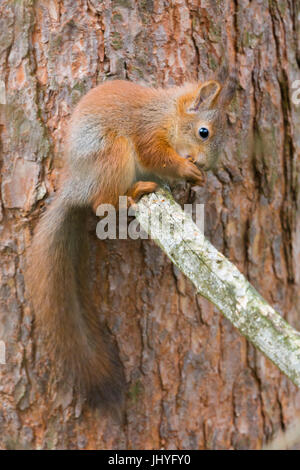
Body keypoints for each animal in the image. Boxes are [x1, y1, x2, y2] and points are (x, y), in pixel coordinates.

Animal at [26, 75, 237, 410]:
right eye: (204, 132)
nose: (205, 165)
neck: (168, 114)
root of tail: (76, 187)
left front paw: (196, 178)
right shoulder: (147, 131)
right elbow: (155, 155)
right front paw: (186, 169)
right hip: (114, 152)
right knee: (102, 203)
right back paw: (134, 193)